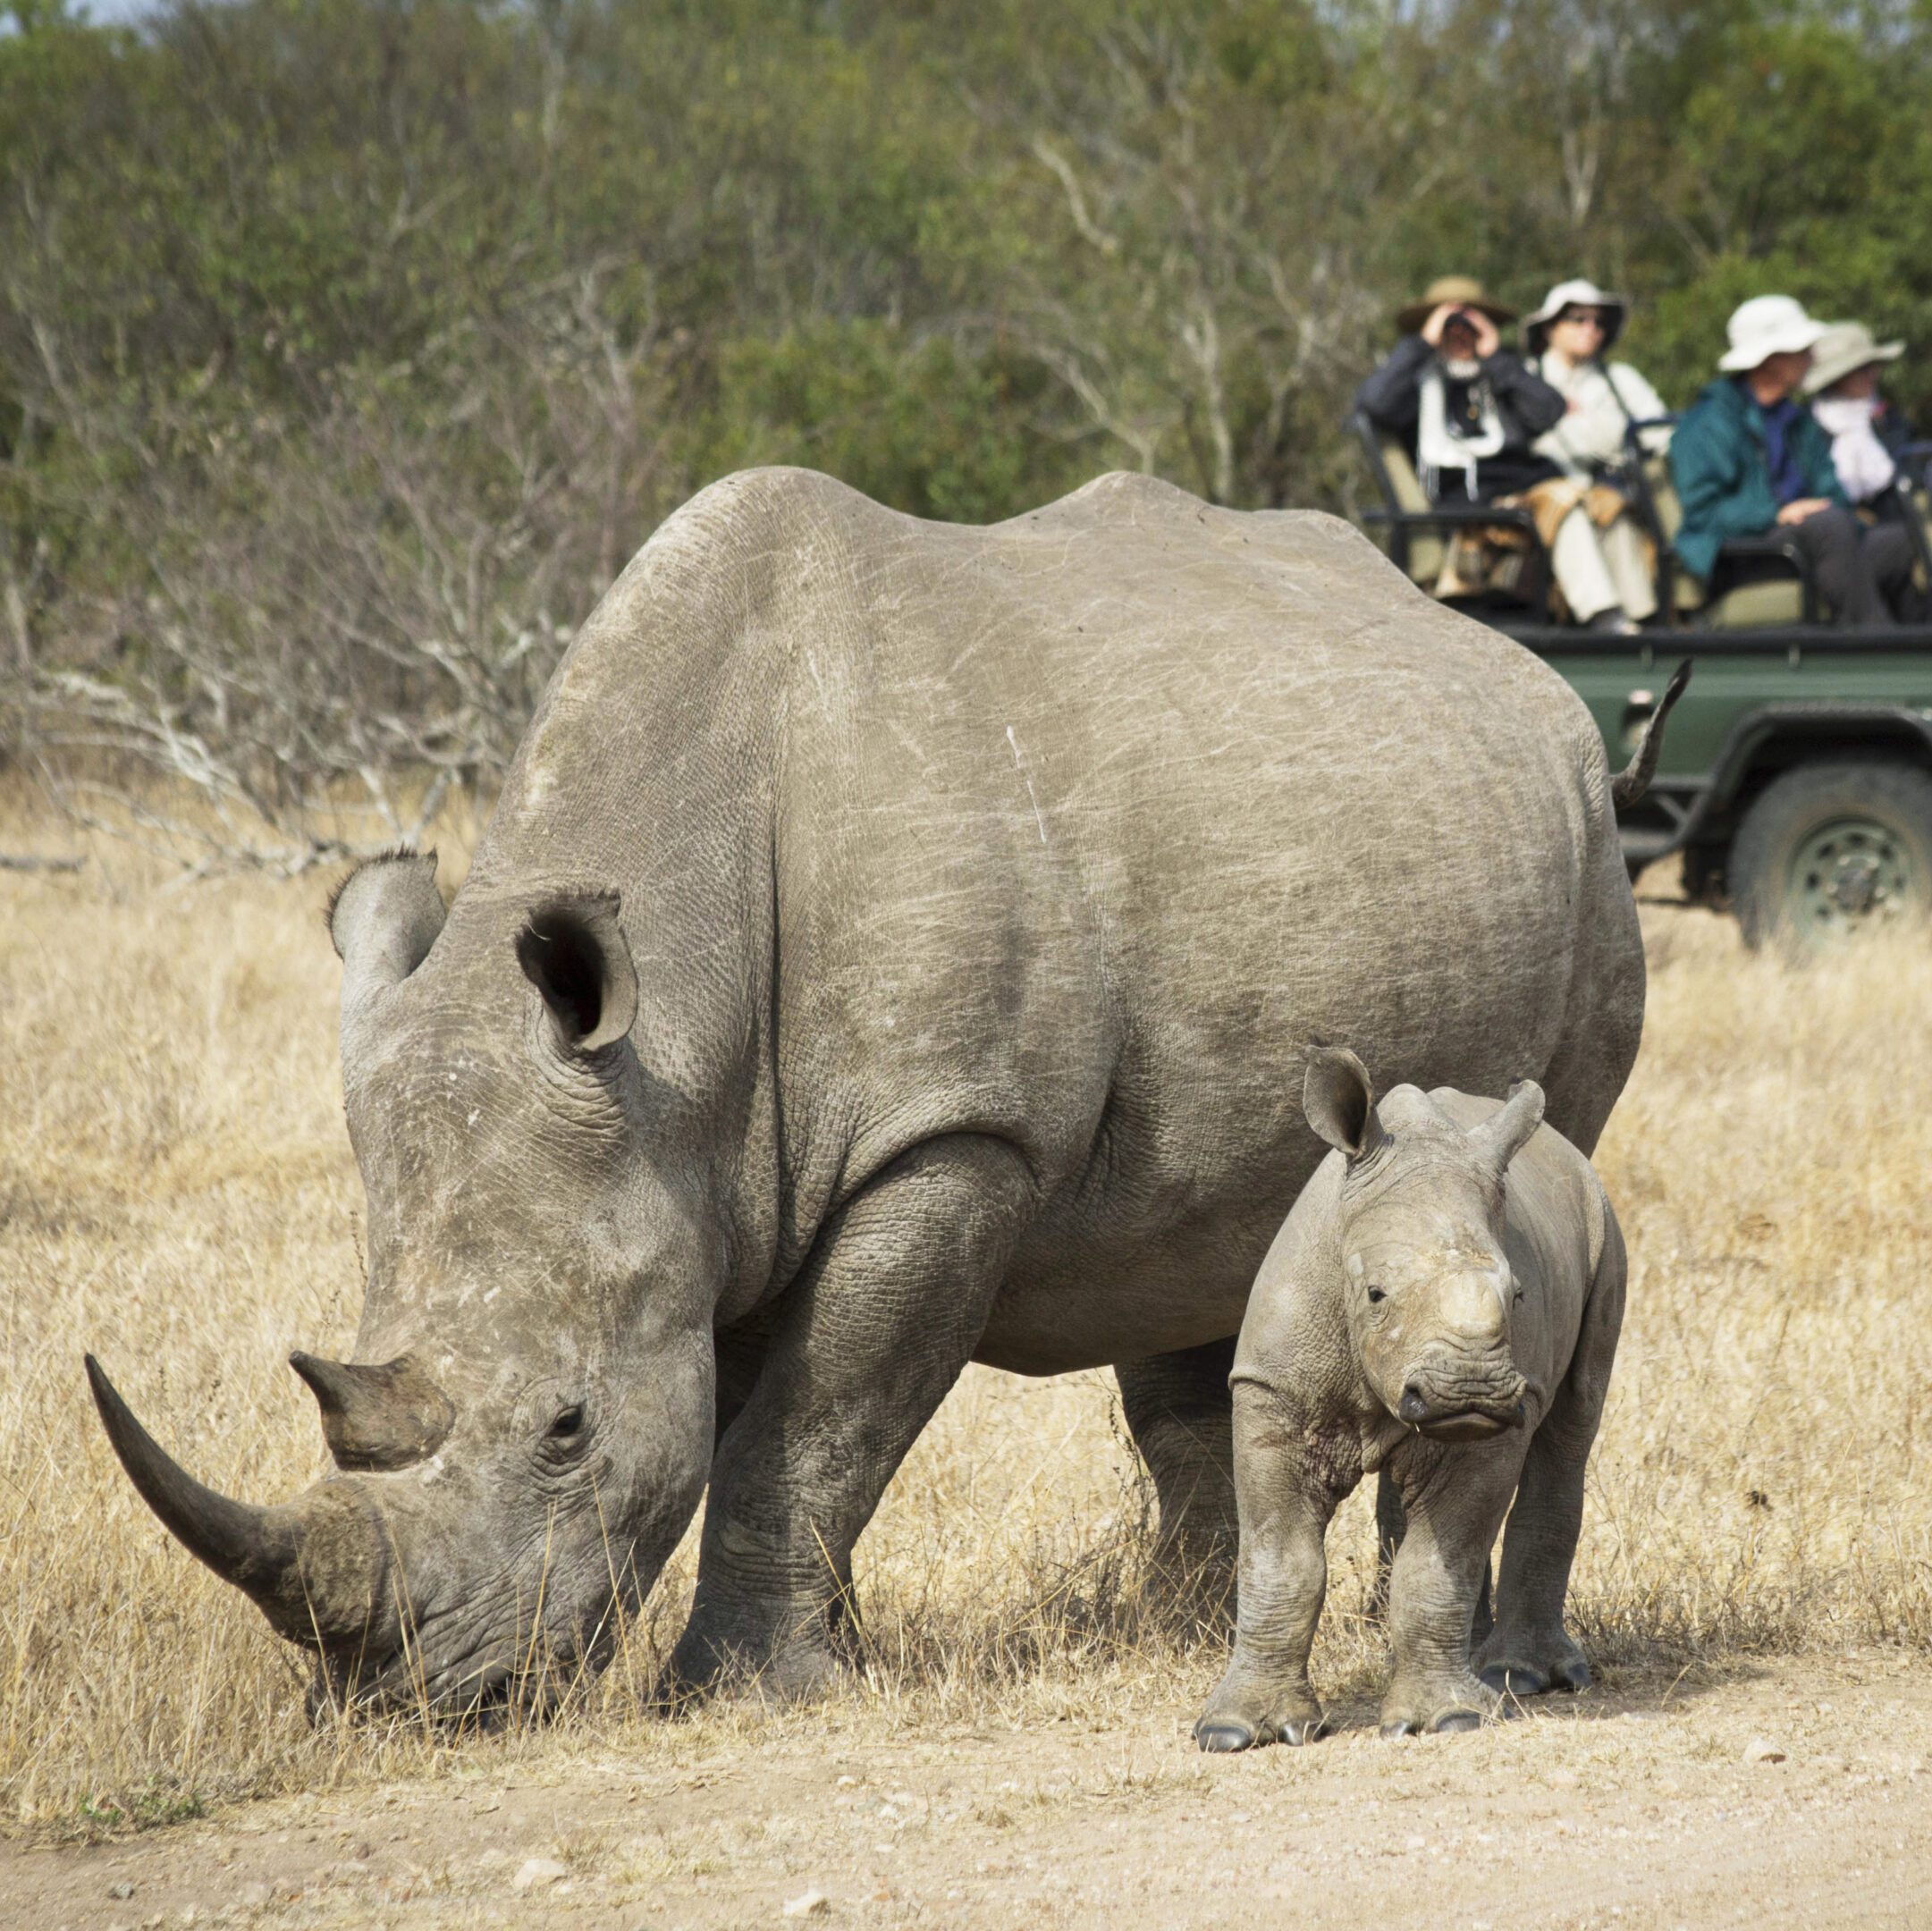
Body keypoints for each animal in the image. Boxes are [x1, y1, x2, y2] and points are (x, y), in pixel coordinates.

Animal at [1194, 1048, 1625, 1751]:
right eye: (1375, 1294)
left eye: (1518, 1297)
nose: (1470, 1389)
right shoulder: (1273, 1391)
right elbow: (1277, 1557)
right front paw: (1240, 1732)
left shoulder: (1493, 1424)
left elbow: (1439, 1562)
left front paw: (1447, 1719)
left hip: (1603, 1225)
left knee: (1570, 1427)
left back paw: (1518, 1677)